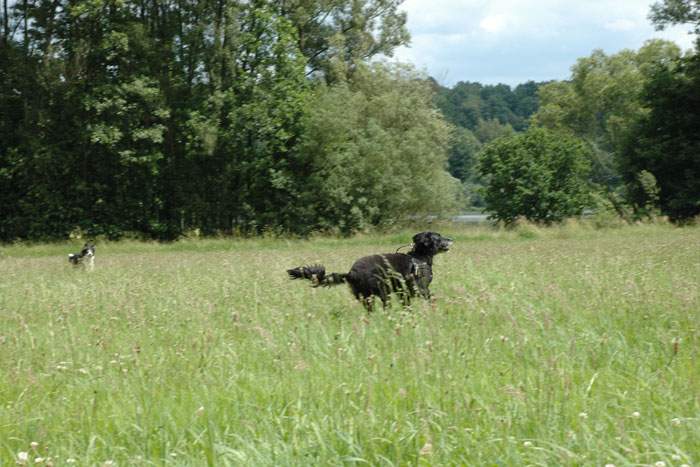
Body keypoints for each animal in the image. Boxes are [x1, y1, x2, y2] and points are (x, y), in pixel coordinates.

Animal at [286, 231, 454, 310]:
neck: (419, 258)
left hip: (366, 297)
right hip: (383, 292)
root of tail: (351, 273)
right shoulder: (420, 289)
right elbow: (432, 298)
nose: (451, 239)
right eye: (438, 237)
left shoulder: (404, 293)